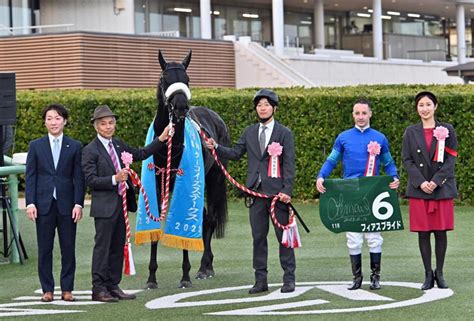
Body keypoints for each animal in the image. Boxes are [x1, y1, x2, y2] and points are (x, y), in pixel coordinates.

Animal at [146, 49, 231, 288]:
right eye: (165, 79)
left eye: (187, 79)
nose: (181, 107)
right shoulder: (158, 183)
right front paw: (151, 278)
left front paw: (185, 276)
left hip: (214, 178)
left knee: (209, 219)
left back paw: (205, 267)